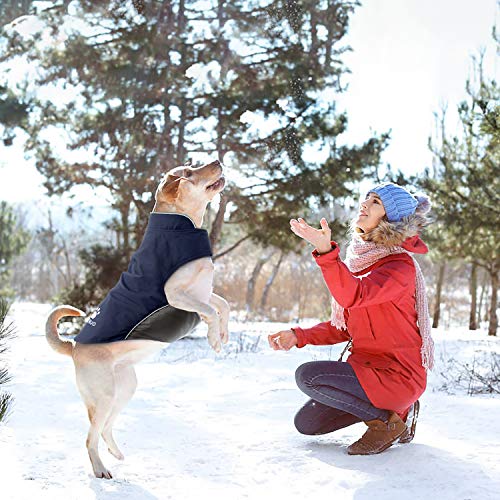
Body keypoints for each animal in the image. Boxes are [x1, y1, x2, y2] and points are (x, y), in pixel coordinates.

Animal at [44, 160, 229, 480]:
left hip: (125, 389)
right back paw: (100, 469)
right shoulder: (176, 295)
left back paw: (116, 453)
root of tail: (73, 347)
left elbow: (223, 306)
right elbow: (211, 311)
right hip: (105, 396)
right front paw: (214, 339)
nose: (217, 161)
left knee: (105, 429)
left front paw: (223, 334)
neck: (183, 226)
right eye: (189, 172)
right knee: (90, 437)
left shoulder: (203, 292)